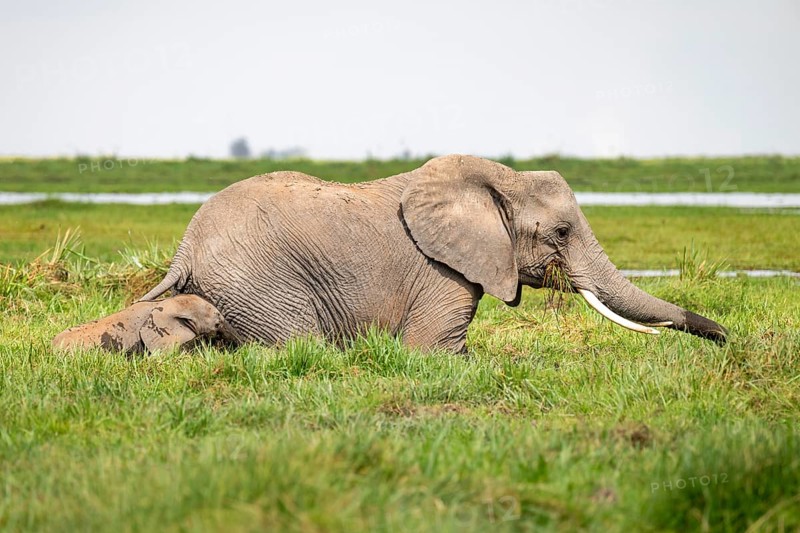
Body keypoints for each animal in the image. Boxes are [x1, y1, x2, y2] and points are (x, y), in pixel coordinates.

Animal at [139, 154, 727, 352]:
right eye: (561, 232)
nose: (724, 338)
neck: (498, 179)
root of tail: (185, 247)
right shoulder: (441, 270)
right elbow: (435, 349)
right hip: (259, 284)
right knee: (299, 345)